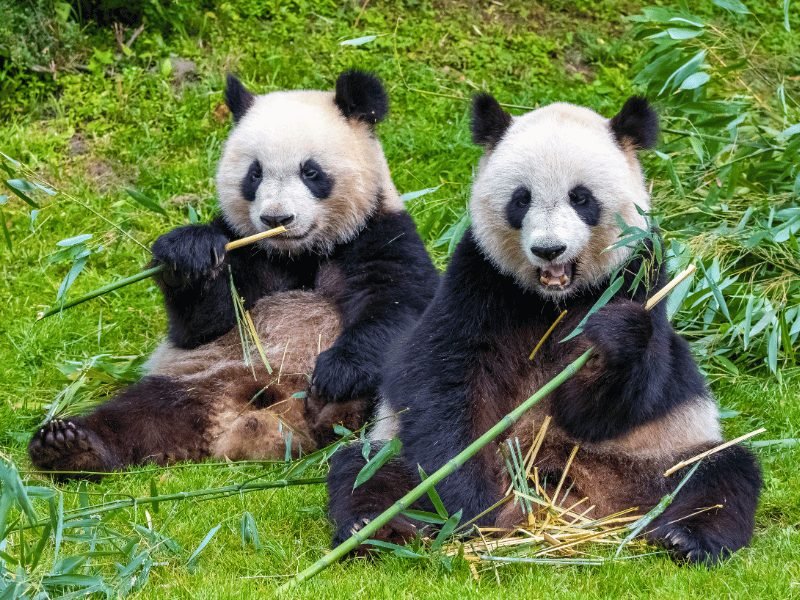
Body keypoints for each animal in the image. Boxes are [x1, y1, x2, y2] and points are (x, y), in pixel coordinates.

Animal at [28, 70, 439, 478]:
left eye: (311, 171)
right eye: (254, 174)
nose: (276, 218)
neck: (299, 254)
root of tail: (252, 426)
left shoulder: (382, 237)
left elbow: (395, 310)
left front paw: (338, 374)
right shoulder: (244, 250)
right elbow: (203, 325)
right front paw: (187, 255)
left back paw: (332, 407)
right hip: (199, 378)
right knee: (138, 415)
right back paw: (70, 446)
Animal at [327, 94, 762, 564]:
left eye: (581, 198)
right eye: (521, 199)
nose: (549, 249)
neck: (551, 300)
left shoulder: (638, 276)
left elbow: (612, 403)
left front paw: (615, 337)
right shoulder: (478, 282)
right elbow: (443, 379)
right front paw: (470, 503)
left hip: (654, 458)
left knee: (719, 473)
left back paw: (687, 537)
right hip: (393, 450)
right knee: (364, 470)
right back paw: (377, 529)